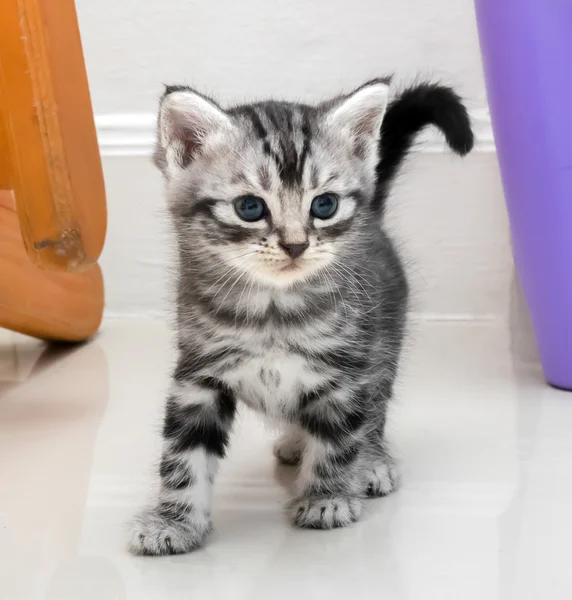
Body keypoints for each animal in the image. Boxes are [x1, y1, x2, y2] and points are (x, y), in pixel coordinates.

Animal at [130, 77, 474, 556]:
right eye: (250, 208)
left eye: (324, 205)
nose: (295, 245)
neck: (273, 313)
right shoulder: (197, 375)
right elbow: (184, 455)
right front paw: (174, 521)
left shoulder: (345, 372)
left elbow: (337, 439)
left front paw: (327, 497)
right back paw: (297, 442)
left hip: (384, 343)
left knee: (374, 411)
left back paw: (370, 461)